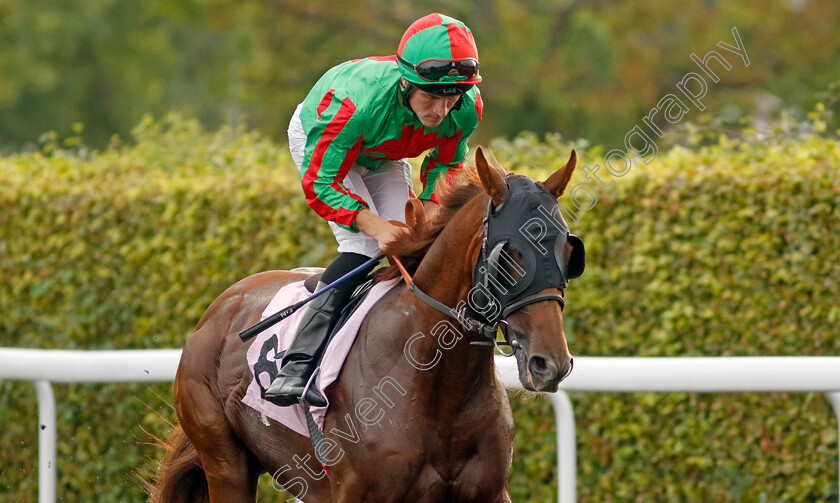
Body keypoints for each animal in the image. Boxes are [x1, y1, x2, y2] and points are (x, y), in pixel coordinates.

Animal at [151, 148, 580, 502]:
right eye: (509, 253)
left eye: (568, 249)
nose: (551, 364)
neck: (441, 385)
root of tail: (218, 309)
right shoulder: (357, 493)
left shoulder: (488, 493)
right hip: (225, 462)